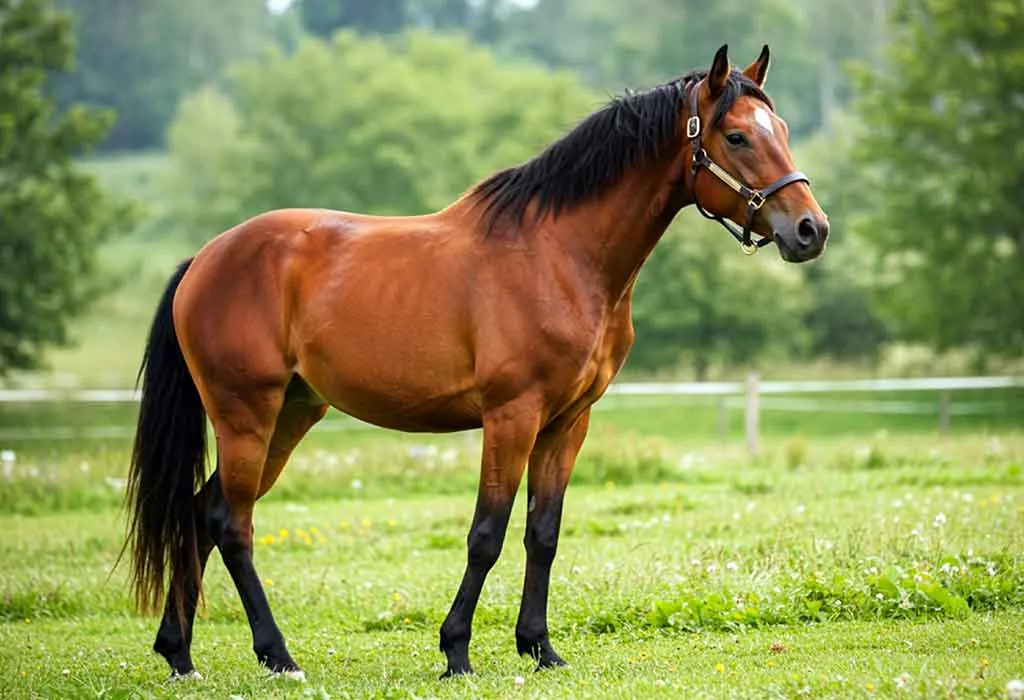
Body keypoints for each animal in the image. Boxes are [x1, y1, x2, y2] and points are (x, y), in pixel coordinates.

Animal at [122, 43, 828, 681]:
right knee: (230, 524)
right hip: (247, 415)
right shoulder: (511, 416)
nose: (810, 230)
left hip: (292, 414)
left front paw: (540, 648)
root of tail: (205, 259)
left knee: (200, 514)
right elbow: (487, 533)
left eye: (784, 132)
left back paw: (179, 655)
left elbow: (543, 533)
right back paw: (277, 656)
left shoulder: (567, 422)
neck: (559, 254)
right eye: (736, 136)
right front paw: (456, 651)